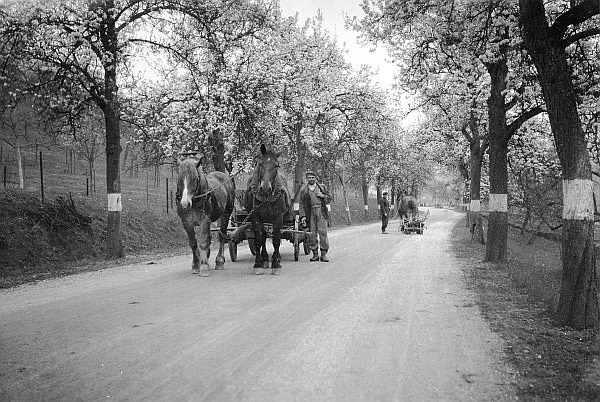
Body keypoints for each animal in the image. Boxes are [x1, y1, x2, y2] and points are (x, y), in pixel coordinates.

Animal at [243, 144, 292, 276]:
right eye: (260, 163)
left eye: (276, 165)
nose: (265, 188)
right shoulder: (255, 217)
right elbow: (258, 240)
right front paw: (258, 264)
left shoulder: (278, 218)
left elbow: (276, 240)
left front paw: (276, 265)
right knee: (264, 237)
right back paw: (265, 259)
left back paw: (276, 258)